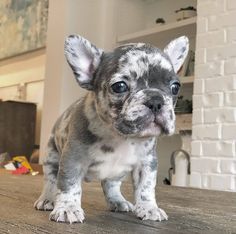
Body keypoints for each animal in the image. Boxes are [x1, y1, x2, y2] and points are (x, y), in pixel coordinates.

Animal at [34, 34, 189, 223]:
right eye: (119, 86)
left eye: (175, 87)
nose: (155, 100)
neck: (120, 136)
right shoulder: (72, 159)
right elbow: (69, 184)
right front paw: (67, 208)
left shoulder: (146, 163)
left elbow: (146, 187)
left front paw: (149, 208)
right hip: (51, 156)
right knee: (50, 180)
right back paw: (47, 199)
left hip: (115, 174)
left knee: (111, 185)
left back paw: (118, 201)